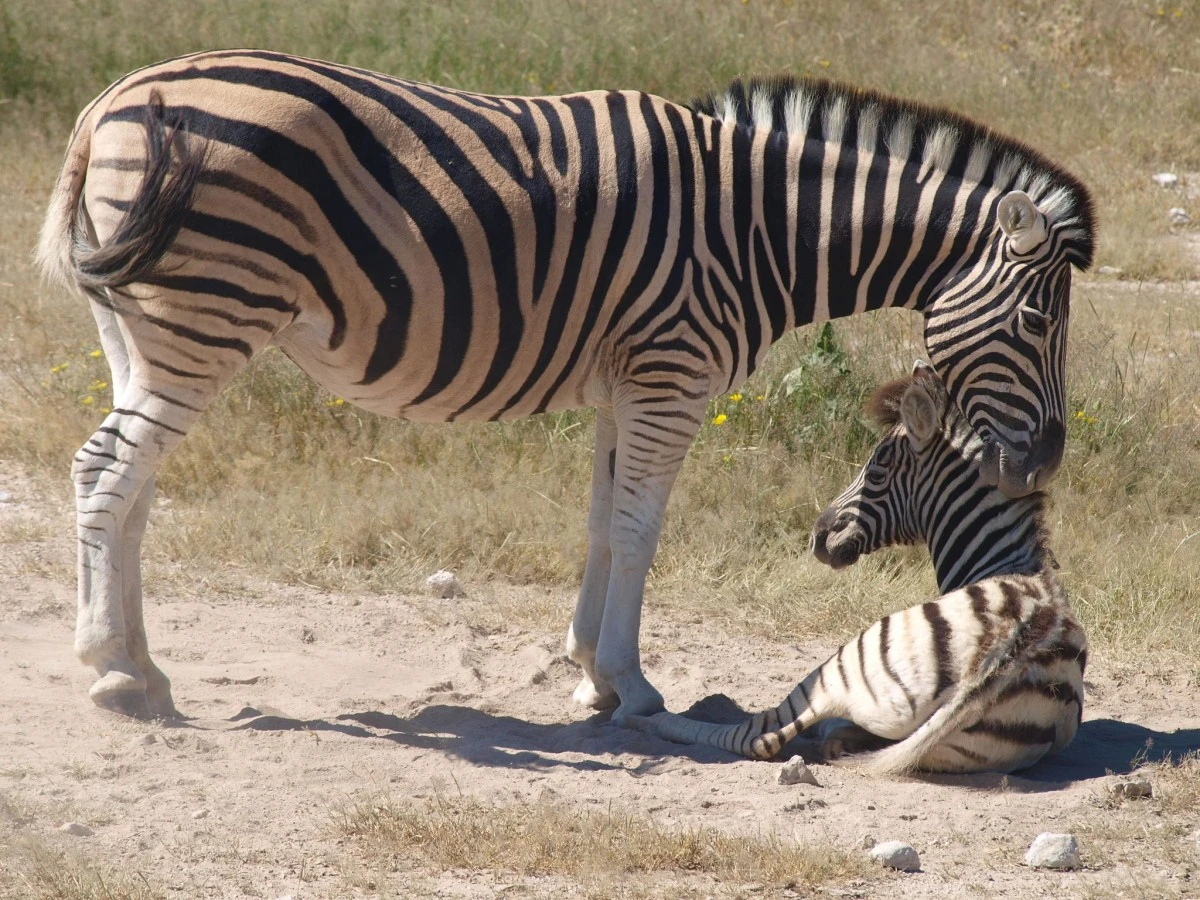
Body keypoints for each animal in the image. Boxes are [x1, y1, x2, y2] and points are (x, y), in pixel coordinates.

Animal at [35, 51, 1099, 724]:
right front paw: (631, 686)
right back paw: (114, 677)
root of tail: (107, 102)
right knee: (103, 471)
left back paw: (143, 667)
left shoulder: (626, 385)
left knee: (130, 487)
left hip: (138, 325)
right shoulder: (673, 375)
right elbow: (639, 530)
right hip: (203, 317)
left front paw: (589, 675)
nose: (1046, 462)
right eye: (1038, 323)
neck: (758, 228)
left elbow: (599, 524)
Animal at [628, 364, 1089, 777]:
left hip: (843, 662)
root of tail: (1004, 654)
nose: (817, 537)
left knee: (760, 735)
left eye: (878, 466)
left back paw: (654, 718)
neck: (1004, 560)